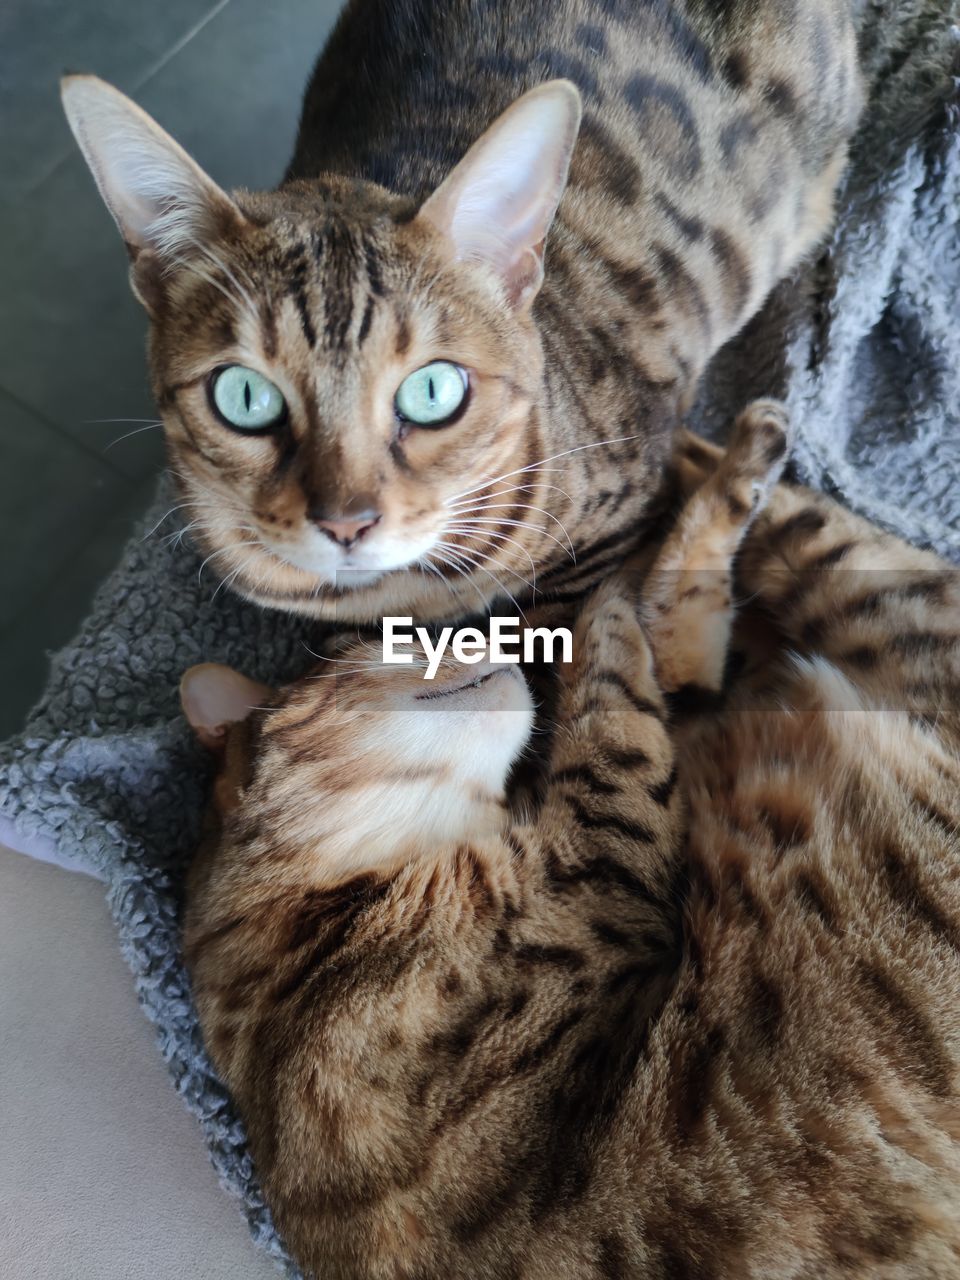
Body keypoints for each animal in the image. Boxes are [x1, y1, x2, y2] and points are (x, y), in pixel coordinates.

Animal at [179, 401, 960, 1280]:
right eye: (376, 645)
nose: (491, 637)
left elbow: (668, 640)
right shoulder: (606, 851)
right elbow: (621, 677)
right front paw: (602, 601)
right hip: (907, 625)